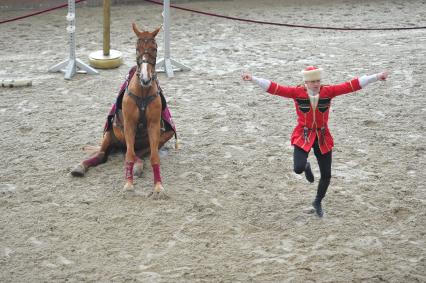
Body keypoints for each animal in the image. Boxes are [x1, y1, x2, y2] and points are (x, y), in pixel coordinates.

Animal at [70, 23, 174, 199]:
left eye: (155, 48)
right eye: (137, 48)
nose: (145, 78)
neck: (143, 91)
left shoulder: (154, 125)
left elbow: (154, 157)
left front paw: (158, 187)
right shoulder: (129, 125)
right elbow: (129, 156)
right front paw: (128, 185)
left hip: (165, 135)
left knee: (139, 154)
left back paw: (139, 166)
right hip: (109, 134)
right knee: (104, 154)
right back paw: (80, 167)